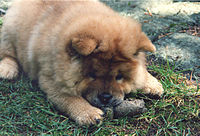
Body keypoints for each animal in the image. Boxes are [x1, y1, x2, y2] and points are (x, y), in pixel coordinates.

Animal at [0, 0, 163, 125]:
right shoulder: (51, 80)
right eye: (92, 75)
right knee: (7, 54)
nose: (105, 97)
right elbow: (70, 98)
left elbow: (141, 72)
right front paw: (88, 113)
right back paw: (7, 70)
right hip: (10, 31)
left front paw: (152, 84)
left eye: (119, 77)